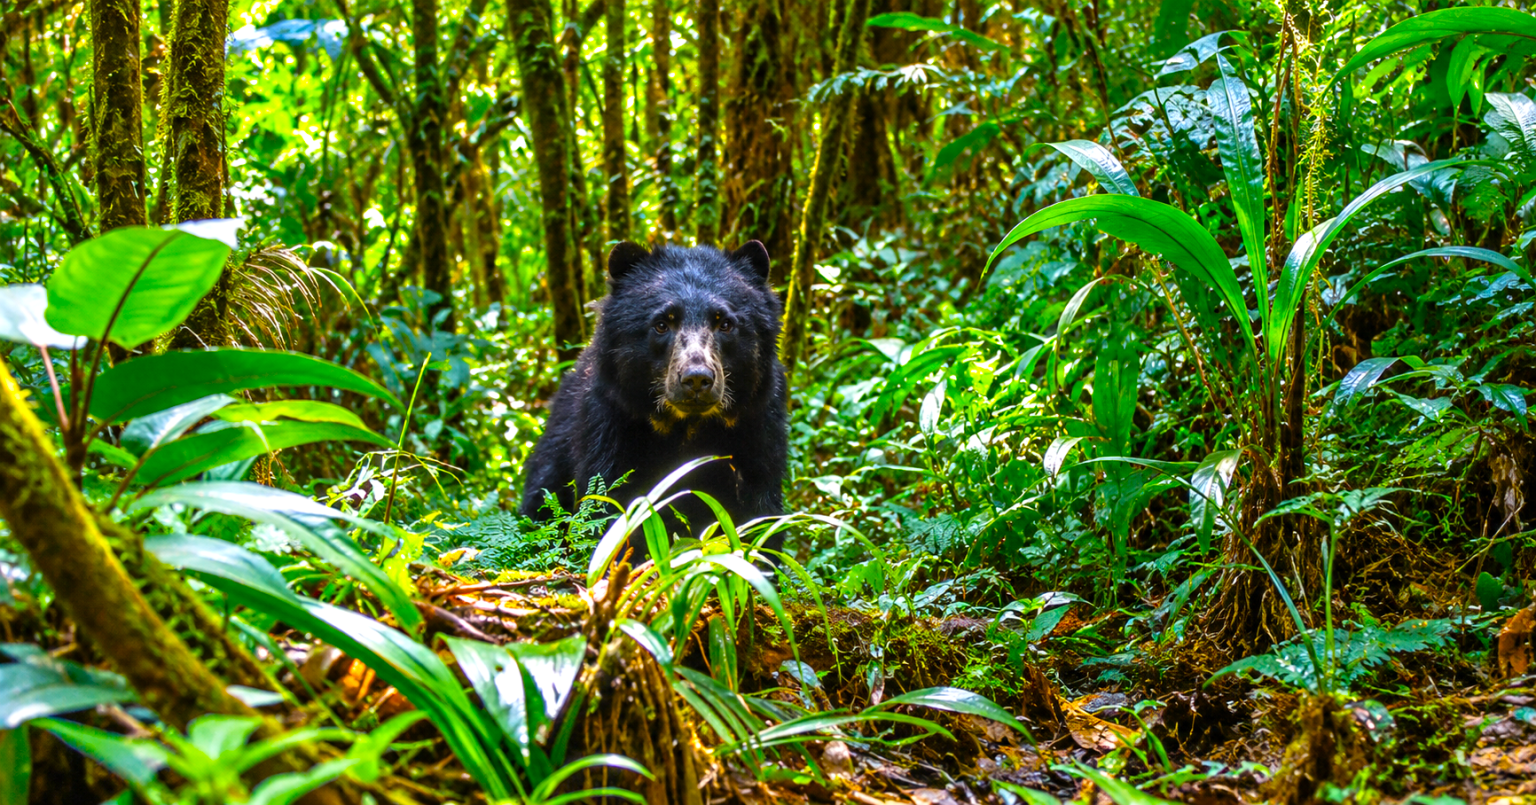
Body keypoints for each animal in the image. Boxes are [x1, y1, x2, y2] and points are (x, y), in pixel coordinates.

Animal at [519, 240, 788, 557]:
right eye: (661, 324)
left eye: (725, 323)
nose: (696, 378)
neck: (688, 427)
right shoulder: (611, 424)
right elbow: (607, 507)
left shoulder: (757, 427)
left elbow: (760, 516)